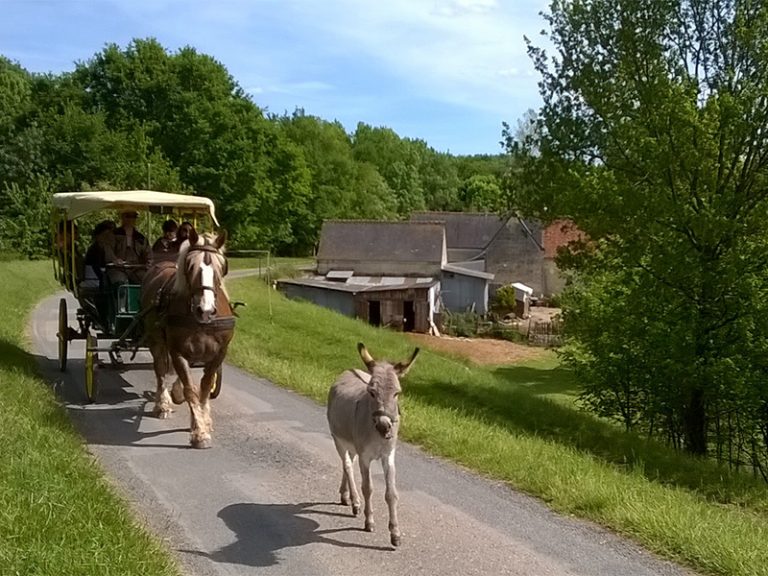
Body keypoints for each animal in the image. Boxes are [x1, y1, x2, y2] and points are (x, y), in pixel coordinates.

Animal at [138, 227, 234, 448]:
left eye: (220, 268)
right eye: (190, 266)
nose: (205, 310)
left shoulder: (218, 354)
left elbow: (204, 388)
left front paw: (203, 421)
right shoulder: (177, 351)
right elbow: (190, 389)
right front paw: (199, 433)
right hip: (156, 340)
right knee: (160, 370)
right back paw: (162, 404)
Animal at [326, 344, 420, 548]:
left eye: (397, 393)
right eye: (371, 392)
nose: (384, 426)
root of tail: (349, 371)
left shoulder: (388, 455)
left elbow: (391, 493)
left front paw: (395, 534)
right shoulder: (365, 457)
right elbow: (367, 488)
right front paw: (369, 522)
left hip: (352, 446)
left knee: (348, 465)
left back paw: (346, 496)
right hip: (338, 439)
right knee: (347, 466)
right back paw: (355, 502)